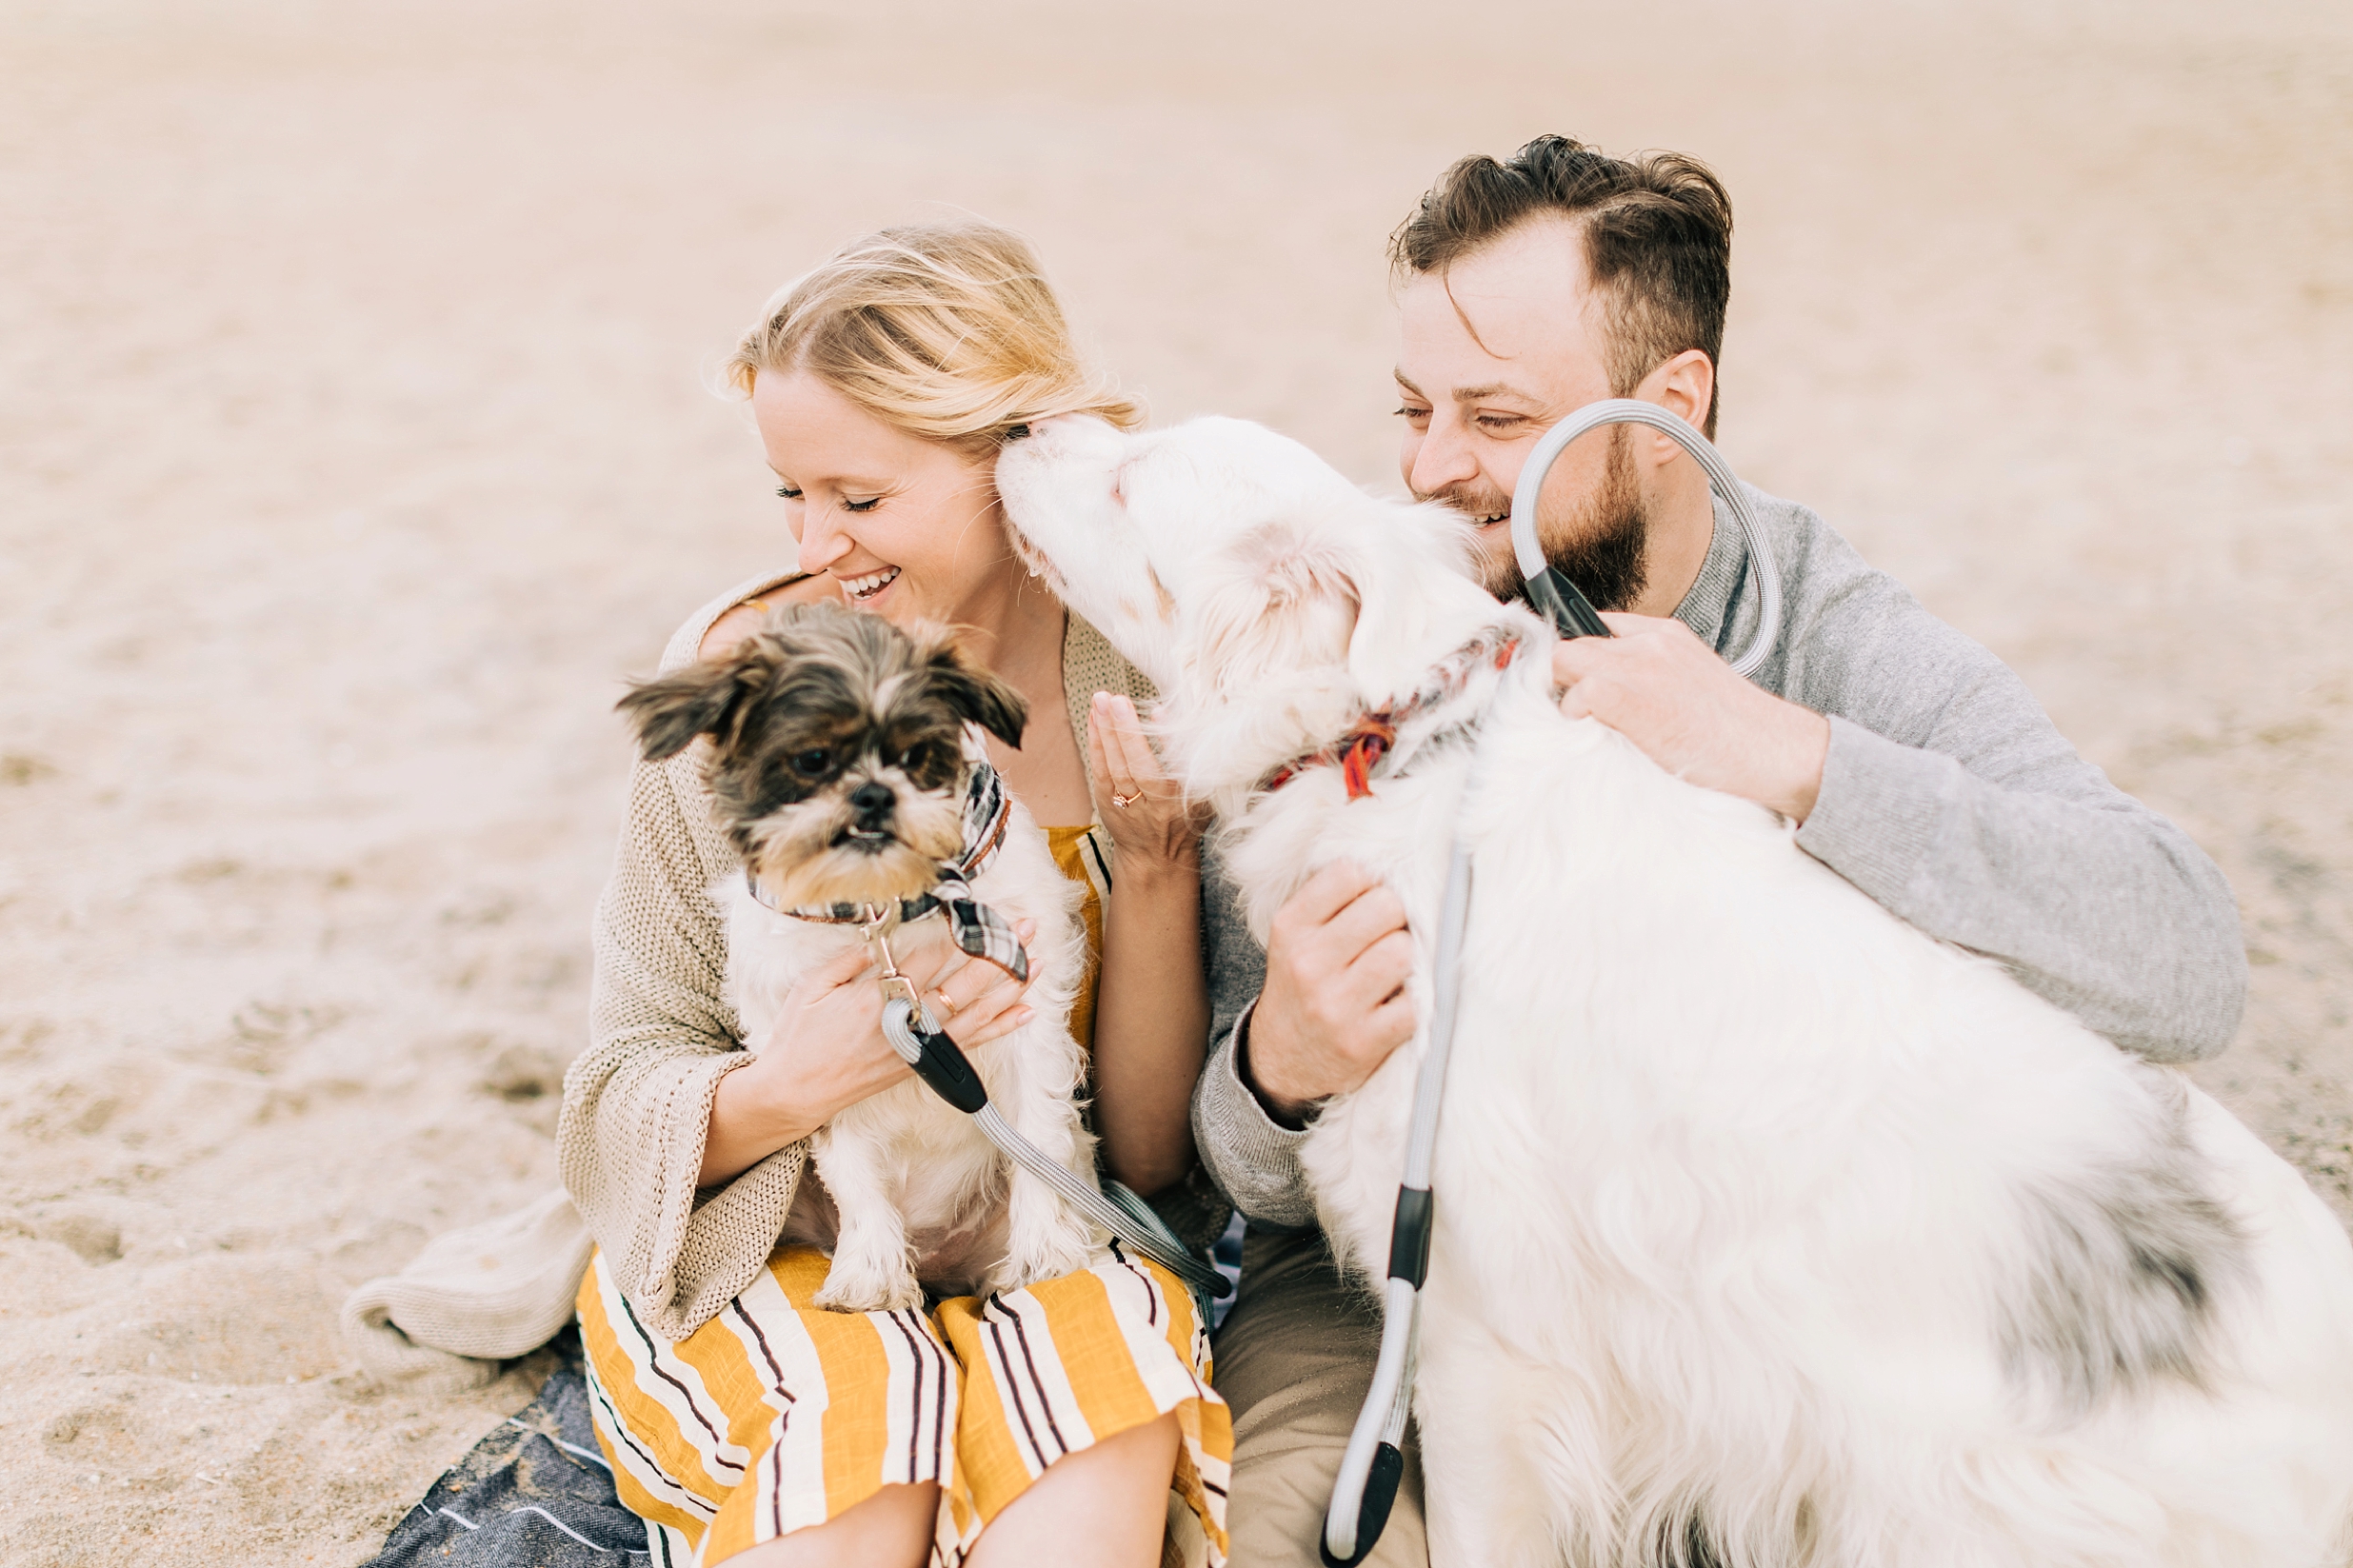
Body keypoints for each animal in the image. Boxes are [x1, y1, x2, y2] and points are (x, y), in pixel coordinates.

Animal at [626, 602, 1101, 1316]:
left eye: (915, 756)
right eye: (813, 759)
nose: (874, 793)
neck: (885, 911)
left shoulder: (1029, 1020)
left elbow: (1038, 1137)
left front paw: (1045, 1251)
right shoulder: (813, 1066)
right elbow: (852, 1172)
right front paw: (870, 1272)